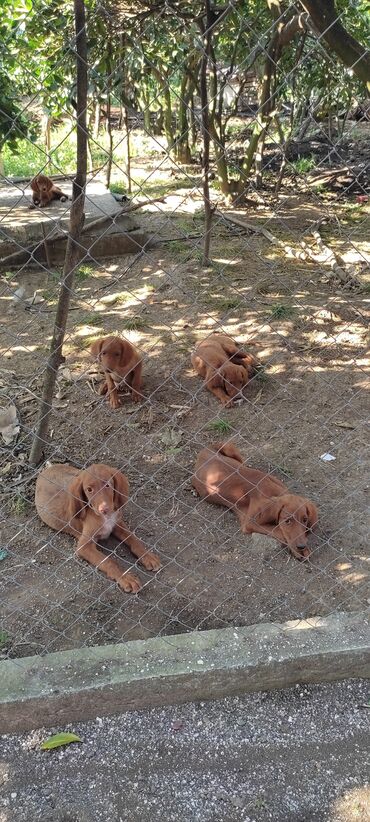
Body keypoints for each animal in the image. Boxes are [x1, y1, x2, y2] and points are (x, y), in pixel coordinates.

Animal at [35, 464, 160, 592]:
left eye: (107, 485)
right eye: (89, 490)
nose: (104, 509)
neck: (105, 517)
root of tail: (47, 469)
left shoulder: (118, 524)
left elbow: (133, 539)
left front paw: (148, 556)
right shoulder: (84, 547)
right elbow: (109, 561)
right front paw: (126, 578)